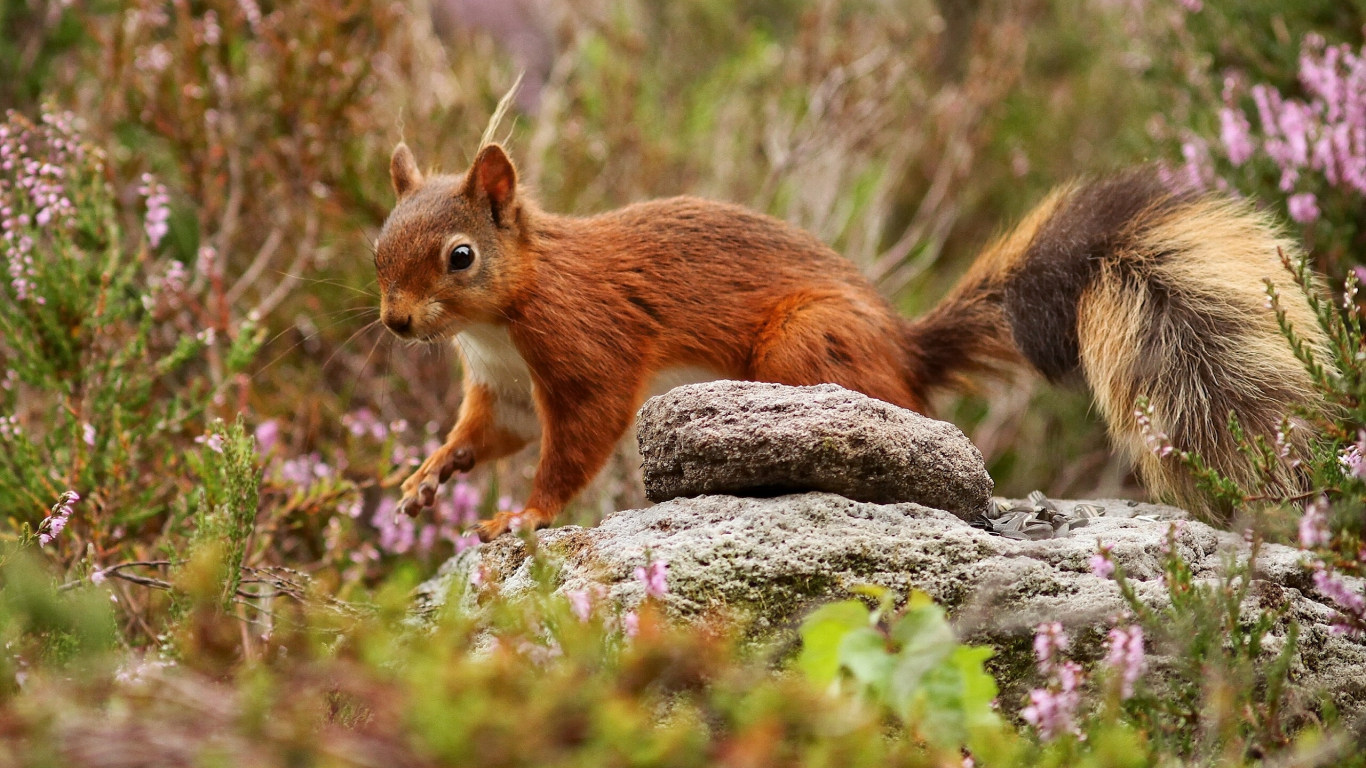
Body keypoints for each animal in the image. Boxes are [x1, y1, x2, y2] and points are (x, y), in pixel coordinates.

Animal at [371, 140, 1322, 541]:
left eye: (460, 256)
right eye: (378, 246)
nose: (396, 323)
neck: (496, 324)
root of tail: (906, 350)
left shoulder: (586, 348)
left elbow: (575, 443)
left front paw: (522, 515)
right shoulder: (502, 388)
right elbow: (486, 435)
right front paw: (425, 479)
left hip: (806, 344)